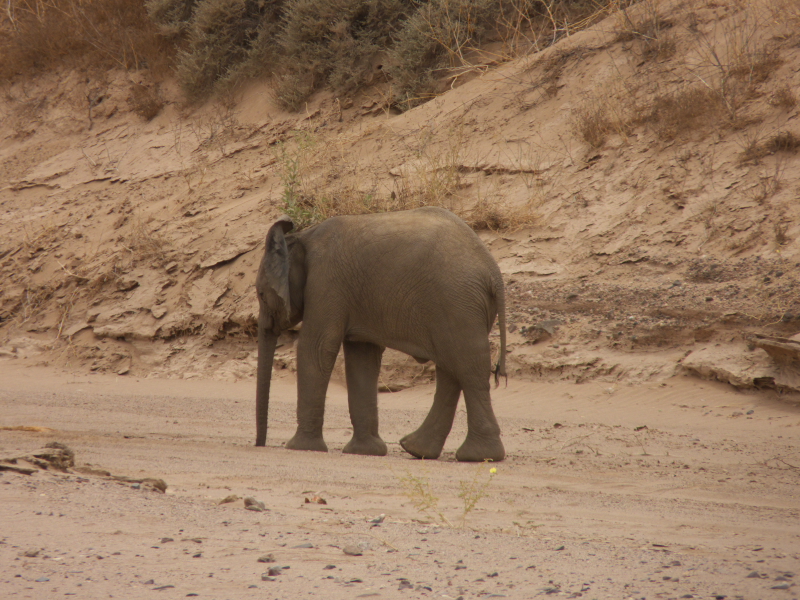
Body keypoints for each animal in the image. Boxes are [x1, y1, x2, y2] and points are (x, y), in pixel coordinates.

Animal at [255, 206, 507, 462]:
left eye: (261, 294)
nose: (259, 445)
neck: (301, 238)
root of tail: (494, 274)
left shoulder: (325, 282)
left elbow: (316, 348)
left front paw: (299, 447)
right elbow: (362, 358)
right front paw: (365, 452)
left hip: (457, 302)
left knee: (467, 369)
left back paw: (478, 455)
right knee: (451, 370)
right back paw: (418, 450)